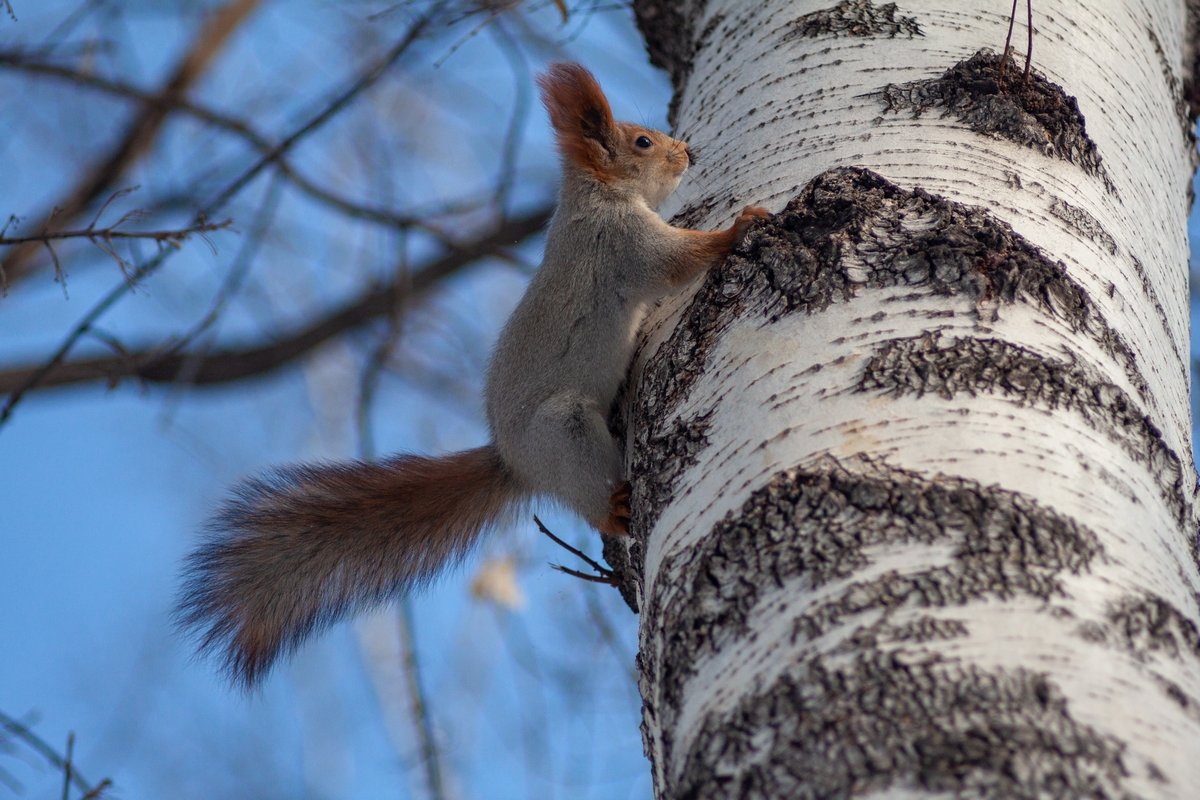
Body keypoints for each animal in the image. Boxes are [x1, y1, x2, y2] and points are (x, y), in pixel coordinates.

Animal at [175, 64, 768, 690]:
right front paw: (739, 229)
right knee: (589, 495)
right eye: (643, 142)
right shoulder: (621, 243)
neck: (599, 195)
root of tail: (511, 460)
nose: (689, 153)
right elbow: (675, 261)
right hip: (561, 430)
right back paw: (616, 508)